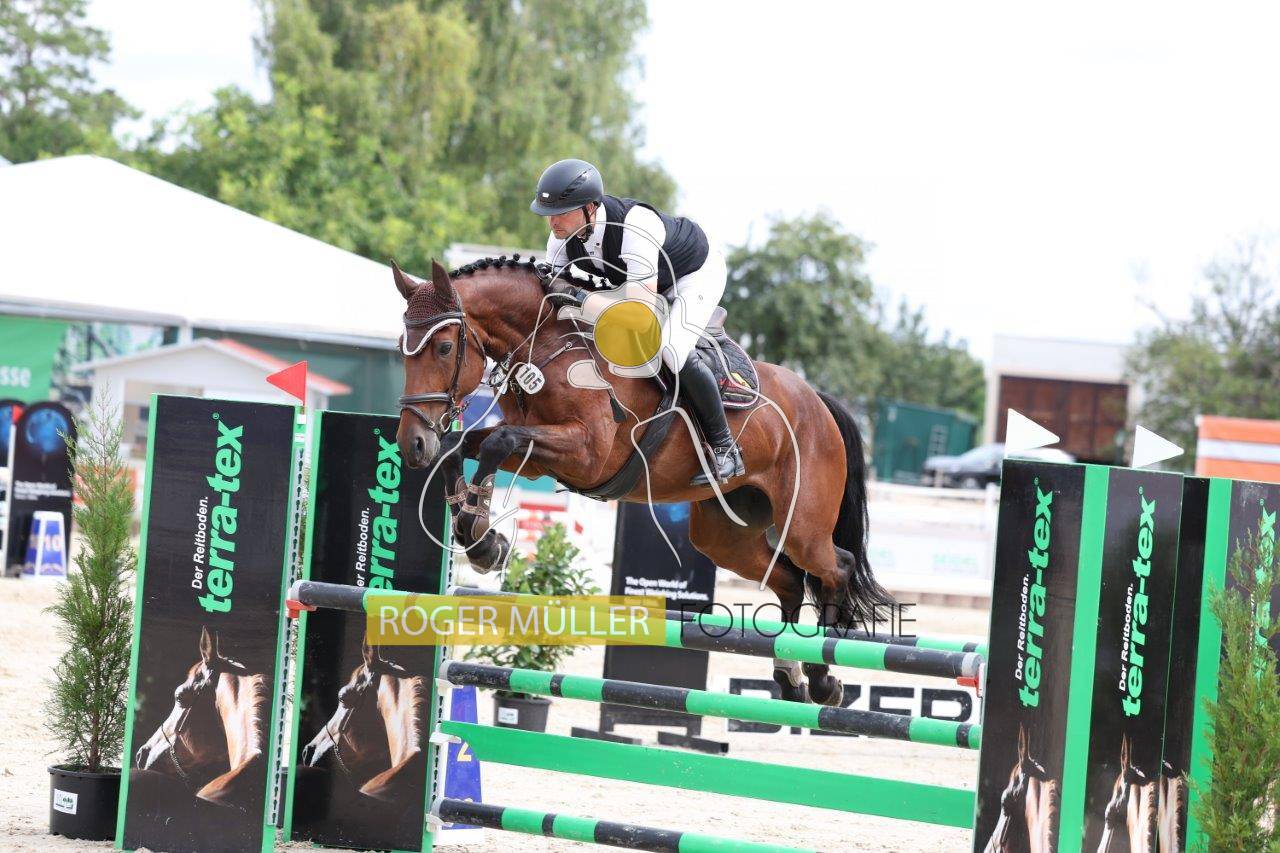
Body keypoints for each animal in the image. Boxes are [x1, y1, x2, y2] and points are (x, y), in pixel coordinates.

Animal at [393, 256, 889, 707]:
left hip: (802, 524)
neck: (550, 341)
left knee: (835, 566)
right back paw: (790, 678)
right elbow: (460, 446)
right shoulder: (537, 458)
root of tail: (819, 402)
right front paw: (478, 536)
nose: (412, 444)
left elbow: (499, 441)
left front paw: (481, 538)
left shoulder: (587, 454)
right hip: (726, 536)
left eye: (443, 348)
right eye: (402, 347)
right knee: (788, 580)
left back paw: (823, 680)